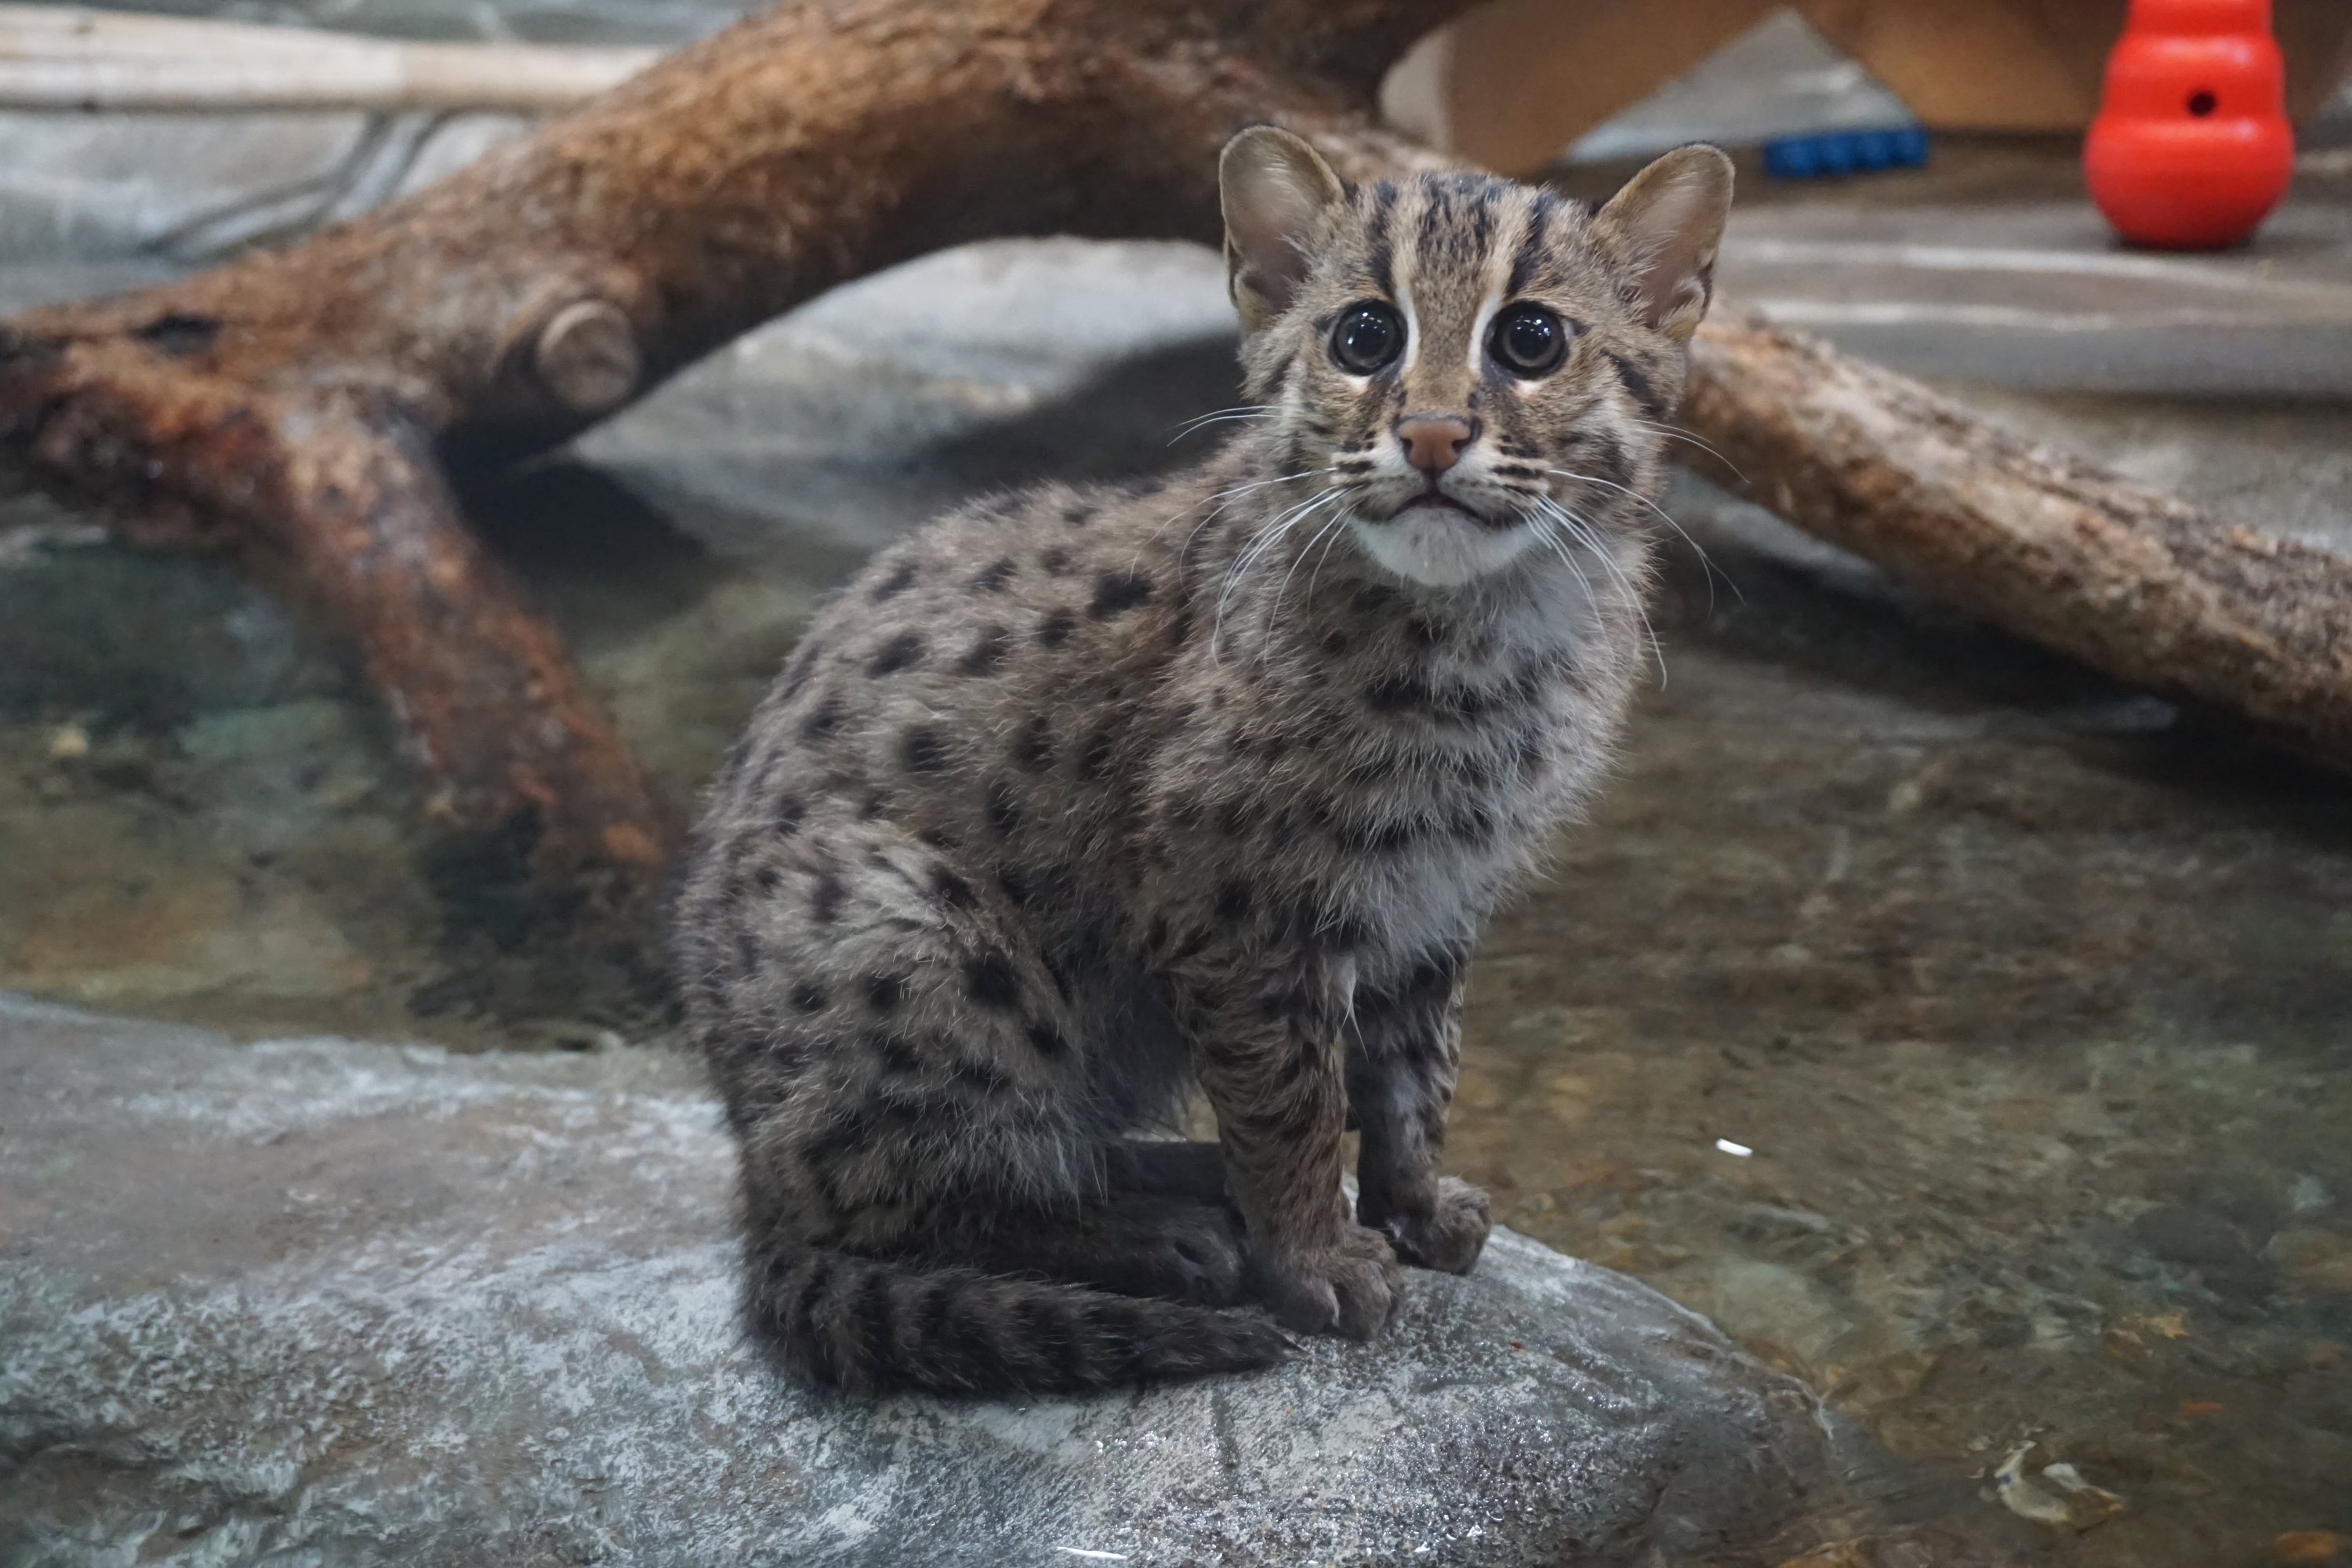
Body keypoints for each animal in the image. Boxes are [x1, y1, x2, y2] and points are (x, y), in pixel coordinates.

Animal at [673, 129, 1740, 1392]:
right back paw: (1166, 1233)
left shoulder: (1436, 900)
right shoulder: (1238, 910)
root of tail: (749, 1169)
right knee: (912, 1188)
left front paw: (1413, 1204)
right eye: (1364, 336)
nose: (1432, 436)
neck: (1486, 624)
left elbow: (1415, 1073)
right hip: (912, 932)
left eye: (1532, 339)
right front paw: (1314, 1256)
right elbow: (1290, 1098)